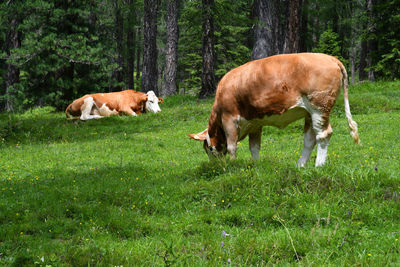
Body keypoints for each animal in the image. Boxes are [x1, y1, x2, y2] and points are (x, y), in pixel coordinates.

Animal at [188, 53, 360, 168]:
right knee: (310, 139)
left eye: (209, 148)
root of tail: (331, 58)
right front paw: (256, 165)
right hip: (309, 114)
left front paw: (232, 165)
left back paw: (319, 165)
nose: (215, 165)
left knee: (323, 135)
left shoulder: (229, 118)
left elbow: (232, 146)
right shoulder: (255, 124)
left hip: (319, 107)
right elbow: (254, 147)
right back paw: (300, 165)